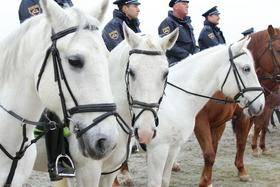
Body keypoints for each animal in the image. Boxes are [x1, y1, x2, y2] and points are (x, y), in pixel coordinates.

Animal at [144, 38, 264, 187]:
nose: (261, 104)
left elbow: (220, 149)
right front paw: (204, 181)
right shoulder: (200, 123)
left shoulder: (220, 123)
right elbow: (209, 153)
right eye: (246, 68)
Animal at [194, 25, 280, 187]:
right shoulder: (201, 122)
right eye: (278, 49)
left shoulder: (233, 119)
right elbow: (209, 152)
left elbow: (240, 142)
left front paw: (242, 170)